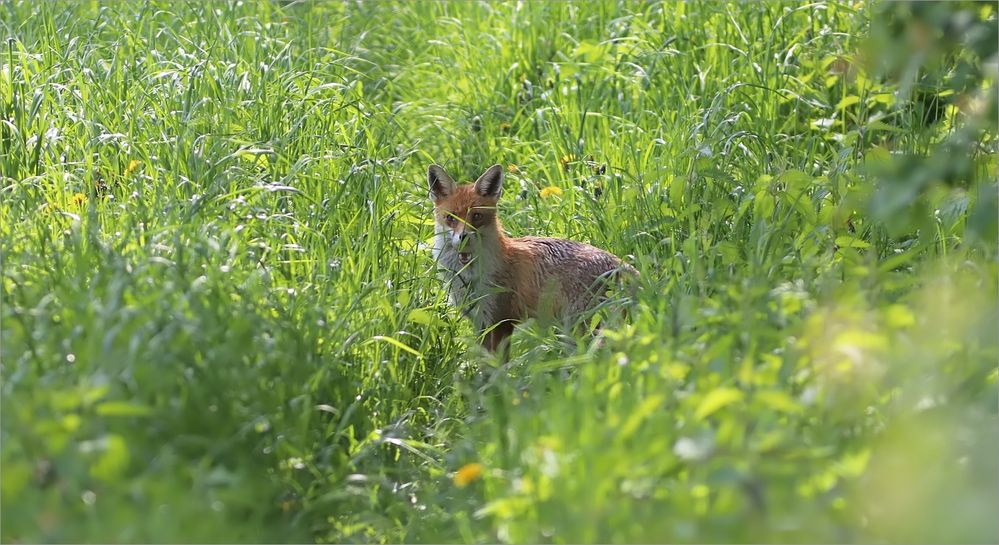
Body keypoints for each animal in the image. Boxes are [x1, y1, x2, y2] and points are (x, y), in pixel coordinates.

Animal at [430, 162, 640, 352]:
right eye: (450, 218)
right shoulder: (481, 322)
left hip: (578, 329)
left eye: (476, 216)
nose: (463, 237)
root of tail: (623, 264)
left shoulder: (501, 321)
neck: (470, 276)